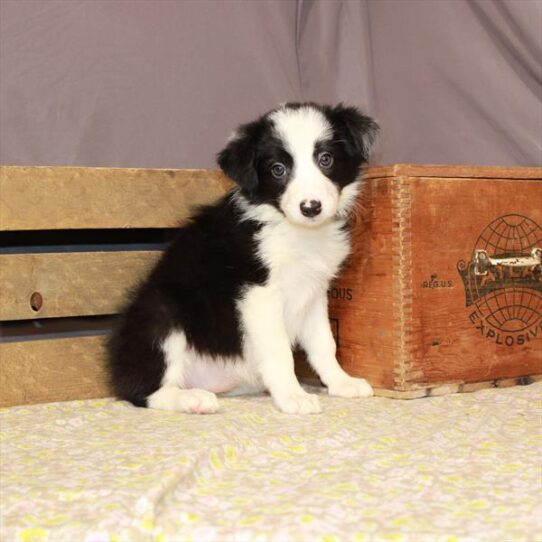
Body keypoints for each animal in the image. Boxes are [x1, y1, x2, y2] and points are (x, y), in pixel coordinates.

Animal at [106, 103, 378, 416]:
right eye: (278, 169)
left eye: (326, 159)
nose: (311, 207)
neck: (295, 232)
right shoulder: (258, 293)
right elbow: (279, 350)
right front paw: (293, 396)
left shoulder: (314, 292)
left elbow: (324, 343)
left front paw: (341, 382)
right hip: (160, 311)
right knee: (142, 392)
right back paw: (191, 399)